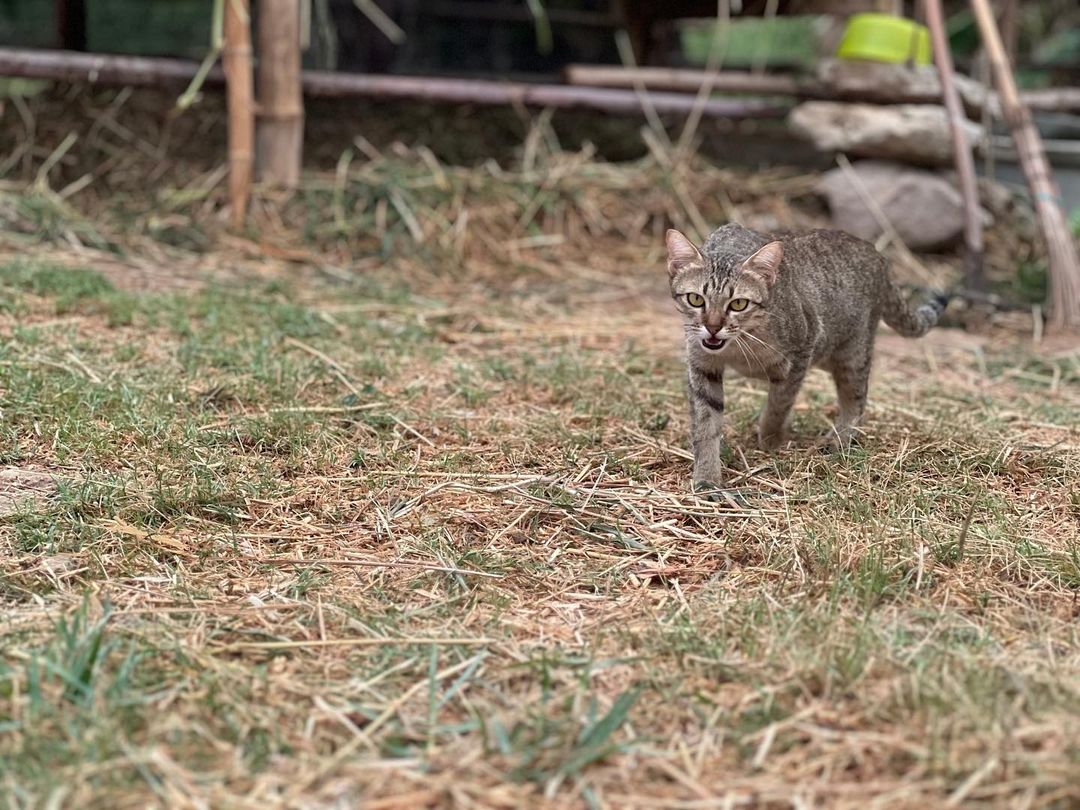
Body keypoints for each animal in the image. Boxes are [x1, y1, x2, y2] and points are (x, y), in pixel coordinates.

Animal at [665, 223, 946, 488]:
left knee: (857, 399)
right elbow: (706, 424)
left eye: (738, 304)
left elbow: (778, 405)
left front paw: (769, 441)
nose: (713, 327)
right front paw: (707, 477)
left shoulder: (801, 352)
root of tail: (878, 255)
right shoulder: (702, 365)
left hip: (851, 355)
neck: (739, 345)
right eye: (695, 299)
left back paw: (840, 439)